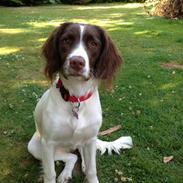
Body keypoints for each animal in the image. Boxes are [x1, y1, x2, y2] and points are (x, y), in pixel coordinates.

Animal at [27, 22, 133, 183]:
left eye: (93, 43)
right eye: (66, 40)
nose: (76, 62)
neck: (76, 97)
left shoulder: (90, 139)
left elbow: (91, 170)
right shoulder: (48, 144)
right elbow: (50, 173)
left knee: (80, 154)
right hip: (35, 147)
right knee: (72, 156)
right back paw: (65, 174)